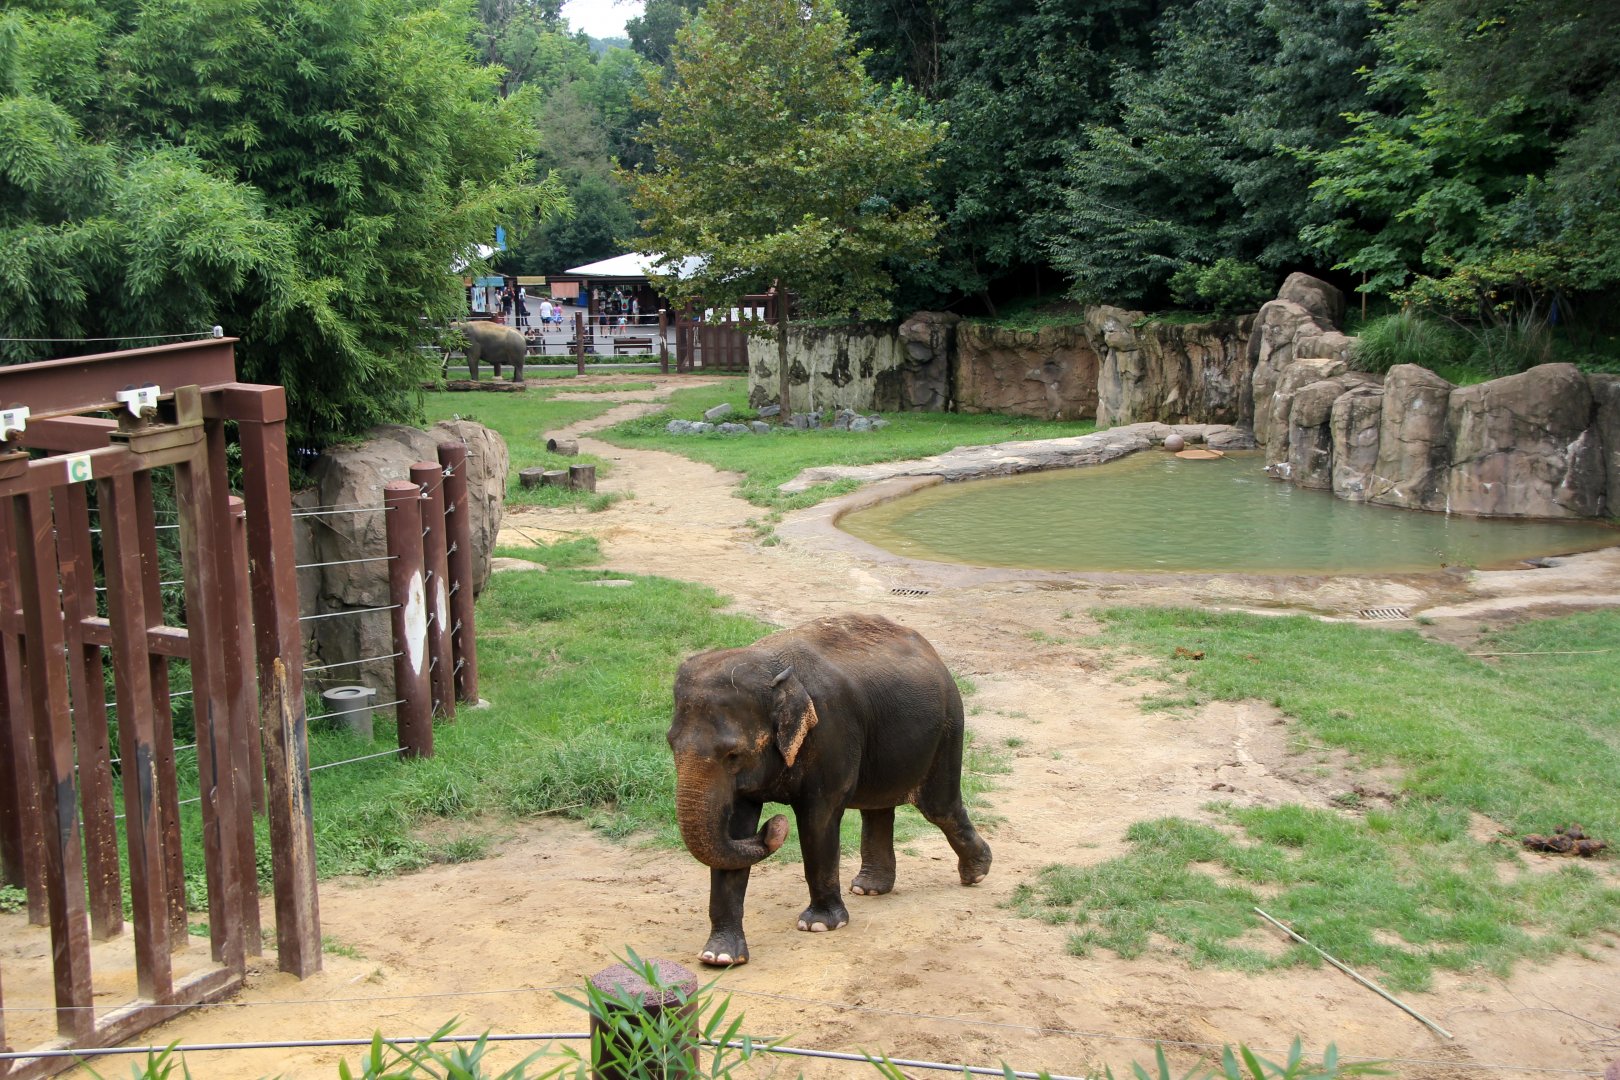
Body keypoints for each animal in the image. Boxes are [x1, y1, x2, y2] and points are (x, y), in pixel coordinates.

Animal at [667, 613, 992, 967]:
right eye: (670, 744)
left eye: (733, 754)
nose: (775, 825)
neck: (771, 667)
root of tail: (934, 653)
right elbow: (737, 831)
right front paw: (719, 957)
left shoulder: (831, 732)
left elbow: (817, 821)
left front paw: (819, 925)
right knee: (879, 809)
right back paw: (869, 888)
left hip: (948, 727)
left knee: (940, 808)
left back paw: (977, 874)